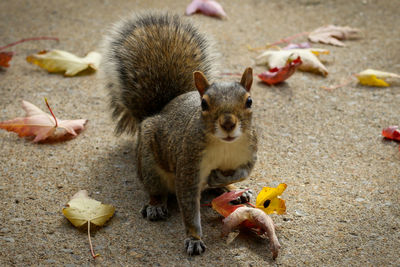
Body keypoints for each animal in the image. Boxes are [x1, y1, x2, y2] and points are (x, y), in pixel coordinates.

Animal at [101, 12, 258, 255]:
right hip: (149, 164)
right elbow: (189, 208)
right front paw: (194, 238)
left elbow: (241, 172)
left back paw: (234, 191)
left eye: (249, 101)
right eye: (204, 104)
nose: (228, 124)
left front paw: (222, 178)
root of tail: (161, 109)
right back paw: (156, 206)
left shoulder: (249, 154)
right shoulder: (188, 166)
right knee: (156, 190)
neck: (225, 145)